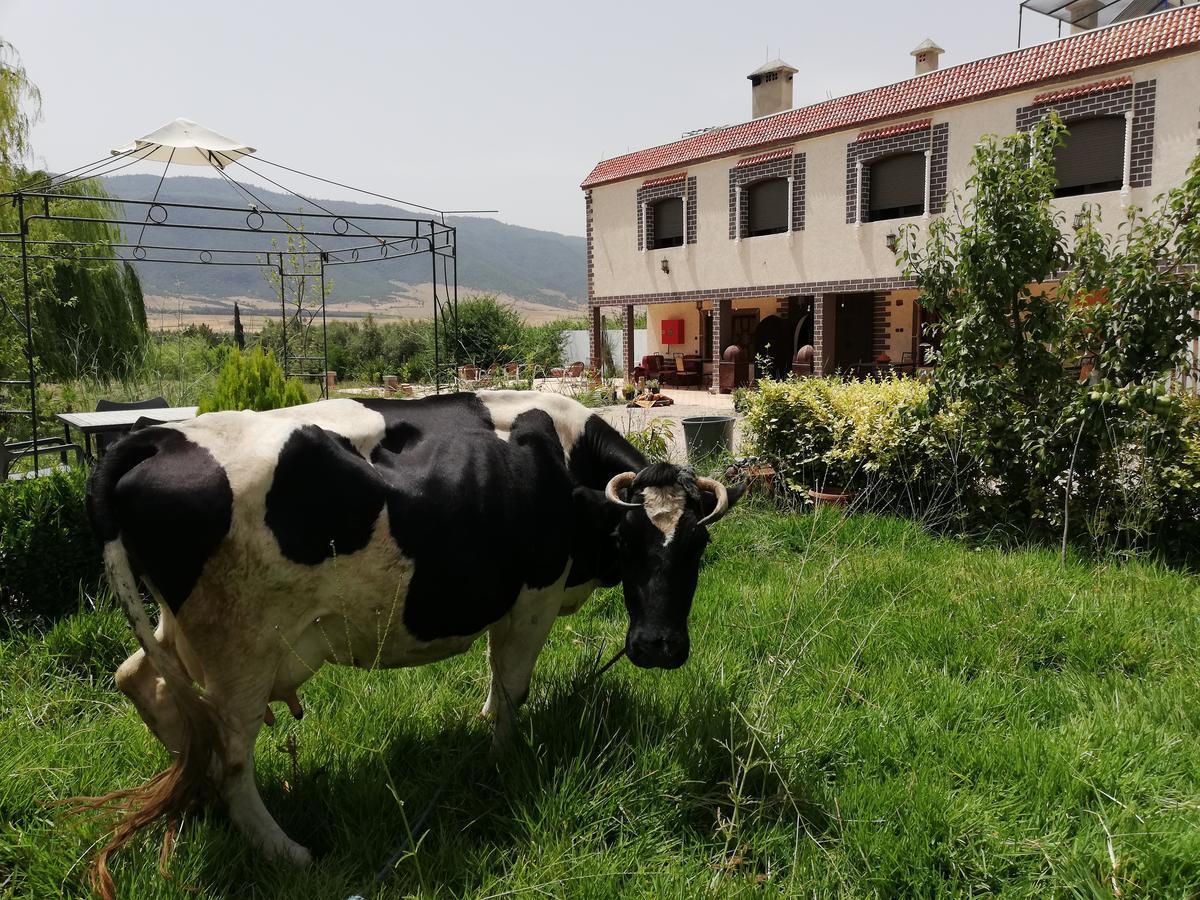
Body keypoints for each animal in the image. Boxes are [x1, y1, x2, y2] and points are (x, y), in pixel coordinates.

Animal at [82, 388, 739, 897]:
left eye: (698, 546)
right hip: (238, 649)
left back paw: (193, 799)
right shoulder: (534, 597)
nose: (656, 646)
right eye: (626, 541)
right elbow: (512, 686)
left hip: (182, 630)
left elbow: (497, 683)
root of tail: (155, 436)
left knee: (144, 684)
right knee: (229, 757)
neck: (564, 460)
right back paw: (285, 850)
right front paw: (504, 761)